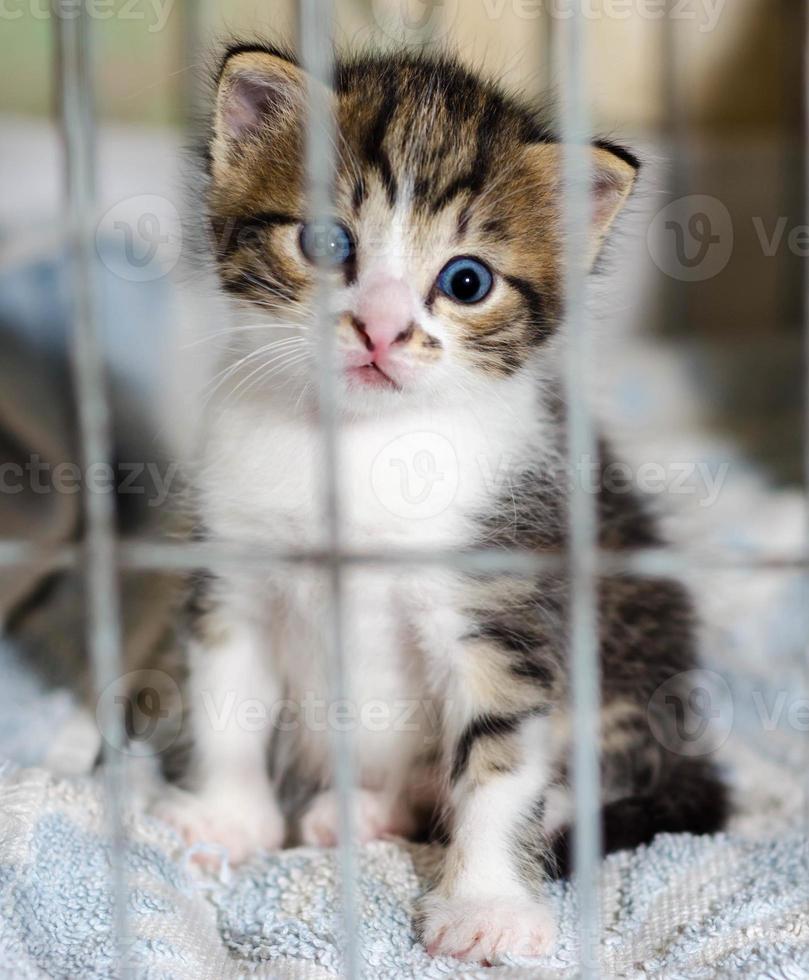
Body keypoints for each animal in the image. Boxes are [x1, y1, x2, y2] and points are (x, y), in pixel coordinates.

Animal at [153, 42, 724, 960]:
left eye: (465, 281)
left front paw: (487, 904)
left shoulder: (502, 594)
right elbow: (226, 699)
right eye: (326, 241)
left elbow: (499, 757)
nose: (381, 330)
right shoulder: (235, 566)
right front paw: (226, 816)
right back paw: (367, 809)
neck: (360, 449)